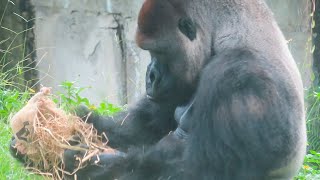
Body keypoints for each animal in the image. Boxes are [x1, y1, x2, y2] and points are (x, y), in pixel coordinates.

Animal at [11, 0, 308, 180]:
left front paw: (80, 162)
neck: (228, 35)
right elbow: (144, 127)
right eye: (148, 51)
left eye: (158, 51)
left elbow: (199, 171)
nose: (150, 76)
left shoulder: (244, 81)